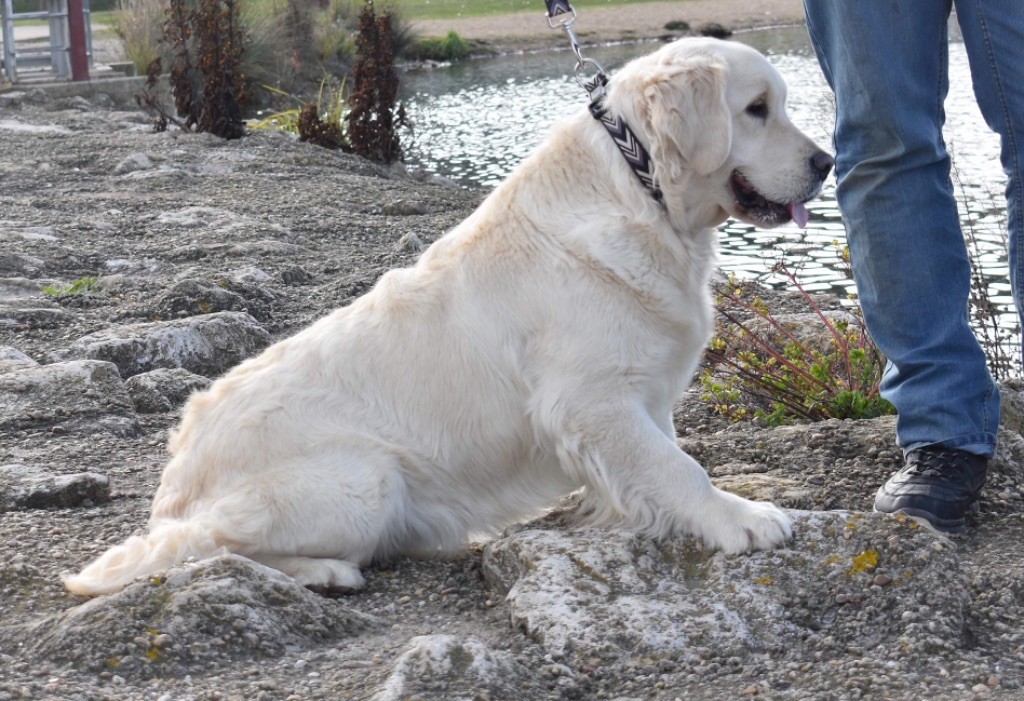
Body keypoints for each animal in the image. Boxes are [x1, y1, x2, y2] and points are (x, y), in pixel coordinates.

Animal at [64, 39, 831, 597]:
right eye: (757, 108)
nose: (826, 161)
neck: (643, 193)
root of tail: (172, 483)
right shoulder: (591, 399)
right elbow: (678, 468)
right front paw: (739, 519)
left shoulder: (638, 393)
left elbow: (660, 460)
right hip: (363, 479)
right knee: (203, 552)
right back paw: (324, 571)